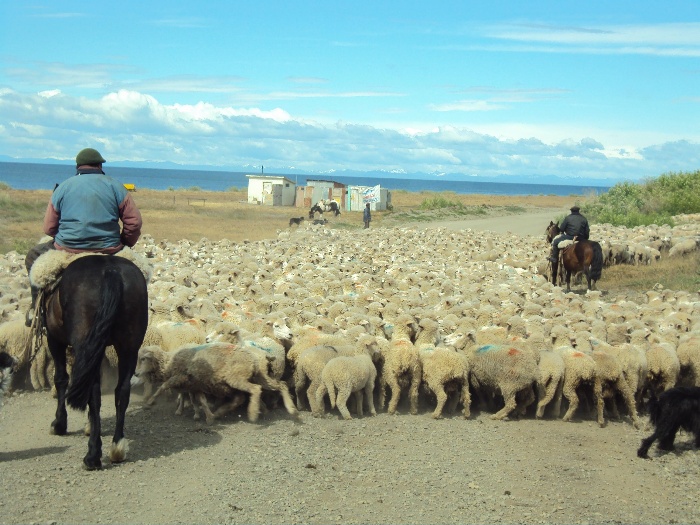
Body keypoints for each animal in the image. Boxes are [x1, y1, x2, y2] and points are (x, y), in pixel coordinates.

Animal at [40, 255, 148, 470]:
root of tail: (110, 270)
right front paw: (89, 425)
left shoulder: (54, 340)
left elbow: (61, 378)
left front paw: (59, 424)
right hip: (129, 345)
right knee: (122, 390)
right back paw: (117, 447)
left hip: (84, 341)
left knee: (93, 391)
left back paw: (92, 455)